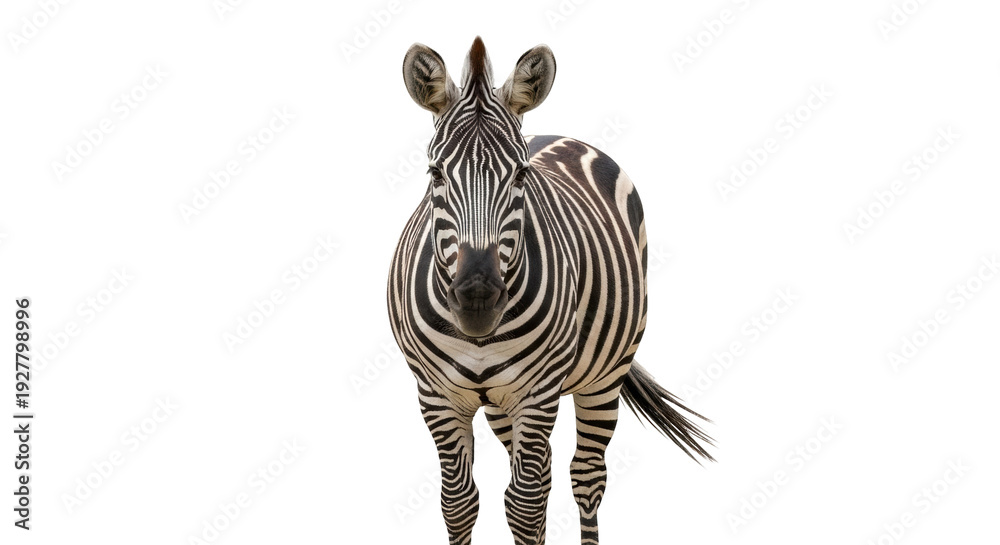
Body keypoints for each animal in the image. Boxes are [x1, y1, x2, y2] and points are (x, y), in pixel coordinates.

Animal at [387, 37, 714, 545]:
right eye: (434, 174)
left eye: (521, 175)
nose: (477, 299)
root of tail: (563, 136)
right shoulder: (436, 394)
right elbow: (459, 504)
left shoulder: (537, 391)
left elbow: (524, 507)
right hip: (501, 403)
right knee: (542, 477)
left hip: (604, 375)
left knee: (585, 476)